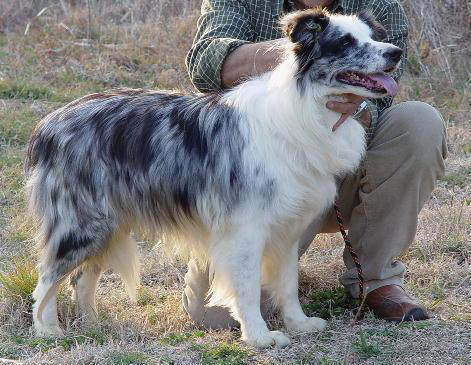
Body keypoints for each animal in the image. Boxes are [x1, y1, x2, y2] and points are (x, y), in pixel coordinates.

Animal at [25, 9, 402, 346]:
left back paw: (93, 325)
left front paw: (299, 323)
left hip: (110, 223)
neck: (308, 108)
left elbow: (287, 282)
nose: (396, 52)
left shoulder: (287, 228)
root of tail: (49, 123)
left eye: (373, 37)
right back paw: (48, 330)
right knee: (46, 280)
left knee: (81, 280)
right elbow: (248, 288)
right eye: (345, 41)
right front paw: (259, 337)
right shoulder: (245, 229)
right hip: (81, 223)